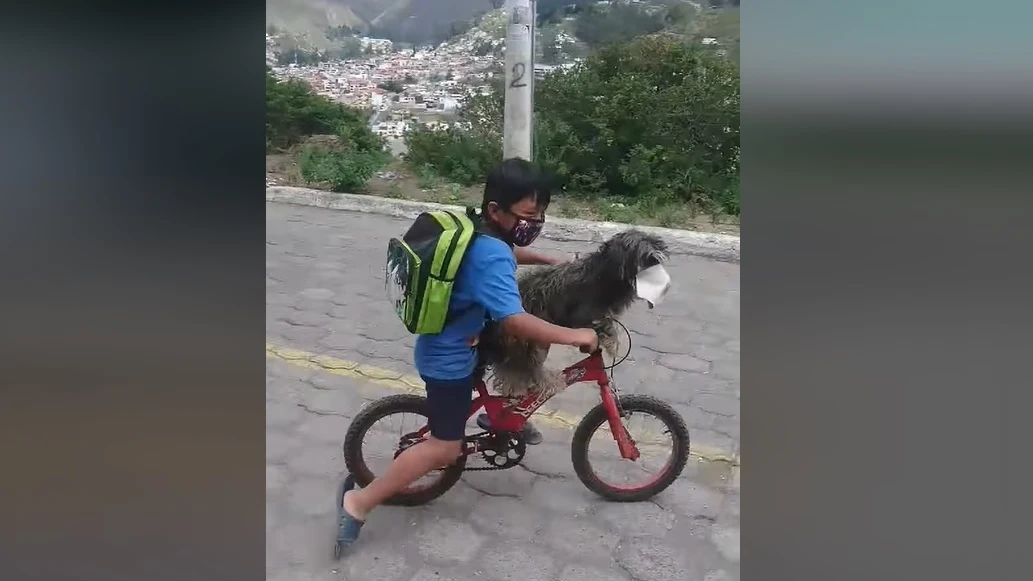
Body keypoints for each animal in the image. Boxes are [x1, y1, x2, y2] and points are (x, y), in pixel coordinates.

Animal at [477, 229, 665, 396]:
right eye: (642, 251)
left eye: (655, 246)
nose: (656, 258)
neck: (604, 276)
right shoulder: (585, 313)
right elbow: (603, 325)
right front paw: (613, 343)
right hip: (523, 337)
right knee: (521, 365)